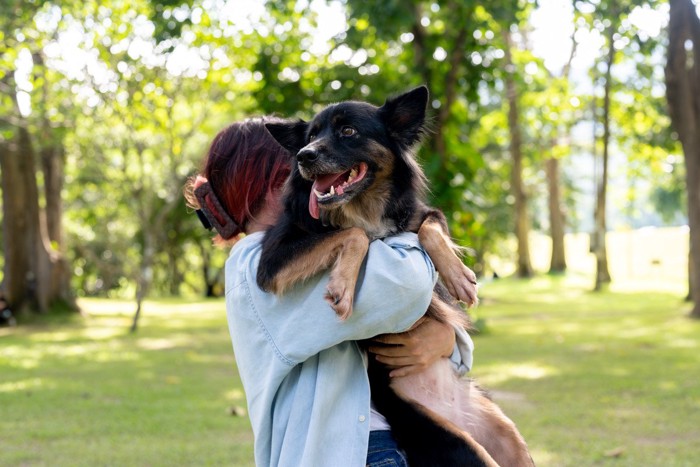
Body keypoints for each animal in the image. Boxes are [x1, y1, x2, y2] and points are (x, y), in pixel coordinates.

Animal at [258, 86, 536, 466]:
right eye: (311, 136)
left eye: (348, 131)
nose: (303, 156)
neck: (363, 207)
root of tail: (453, 411)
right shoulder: (272, 261)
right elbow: (353, 235)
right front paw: (342, 285)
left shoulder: (421, 214)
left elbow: (430, 229)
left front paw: (459, 277)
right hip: (459, 445)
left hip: (510, 440)